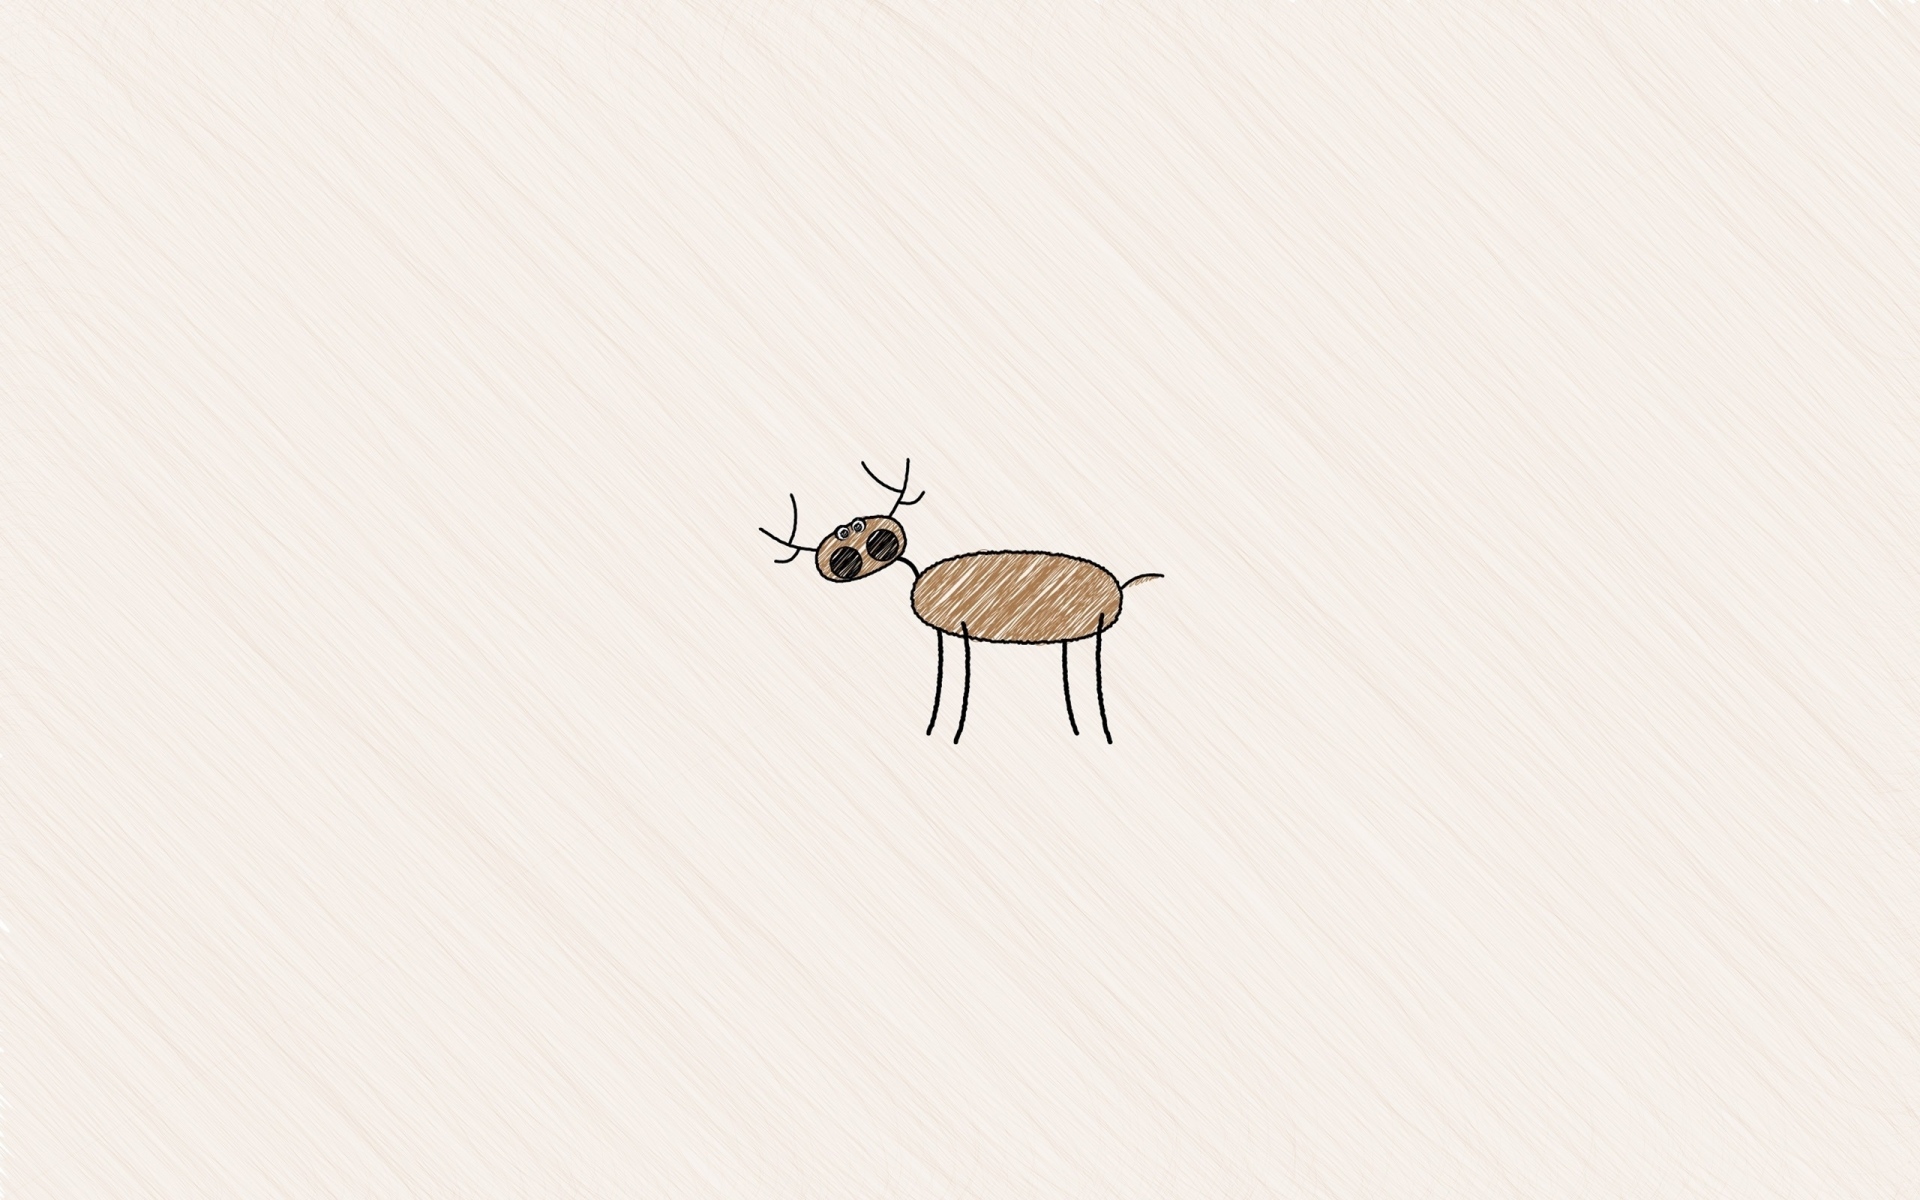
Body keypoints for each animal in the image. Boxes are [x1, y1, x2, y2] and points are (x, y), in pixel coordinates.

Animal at [759, 460, 1162, 744]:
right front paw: (939, 728)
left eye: (876, 539)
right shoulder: (948, 633)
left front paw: (949, 731)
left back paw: (1100, 731)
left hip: (1093, 631)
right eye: (842, 556)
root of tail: (1119, 588)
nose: (849, 537)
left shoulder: (960, 631)